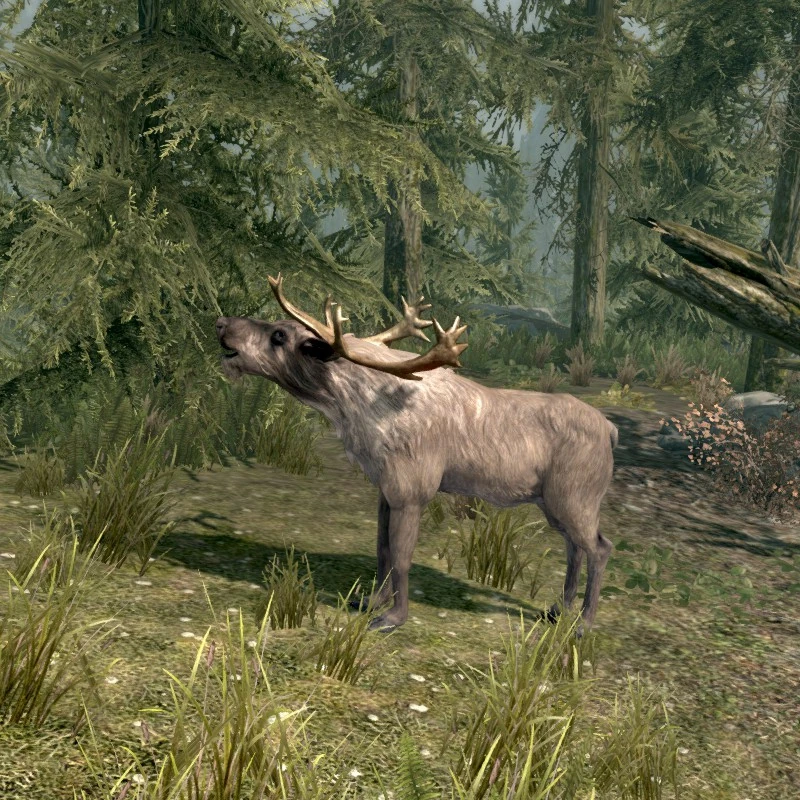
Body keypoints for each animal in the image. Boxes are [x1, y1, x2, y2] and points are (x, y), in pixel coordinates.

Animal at [216, 275, 617, 633]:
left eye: (280, 335)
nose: (220, 322)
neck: (359, 411)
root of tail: (610, 431)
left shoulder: (412, 490)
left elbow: (402, 557)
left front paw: (393, 618)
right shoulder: (384, 490)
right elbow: (381, 550)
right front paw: (371, 601)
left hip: (574, 497)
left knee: (600, 547)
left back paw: (583, 624)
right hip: (551, 503)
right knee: (575, 548)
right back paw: (557, 610)